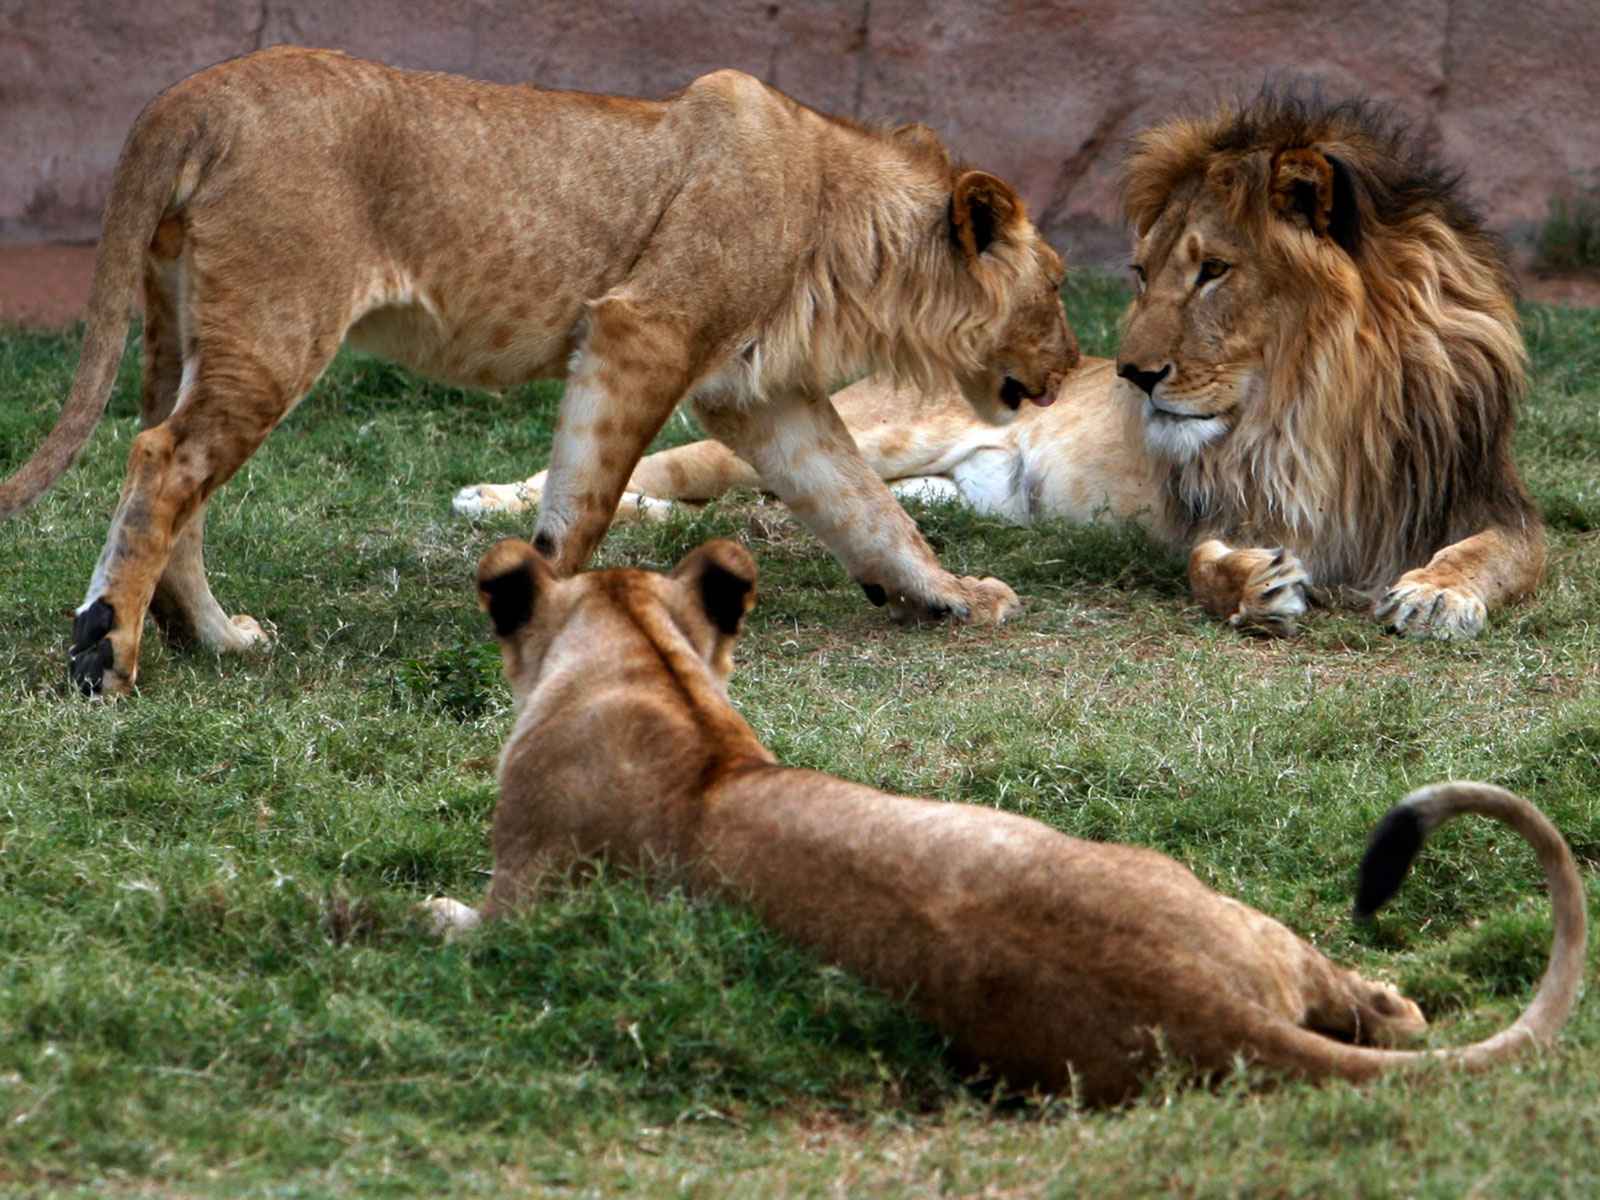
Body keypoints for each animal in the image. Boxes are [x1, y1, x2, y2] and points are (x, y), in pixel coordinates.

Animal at [0, 46, 1075, 695]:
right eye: (1062, 287)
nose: (1074, 369)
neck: (847, 235)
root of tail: (197, 92)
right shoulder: (641, 329)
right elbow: (584, 501)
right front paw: (545, 619)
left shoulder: (759, 392)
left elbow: (865, 506)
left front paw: (948, 595)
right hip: (275, 328)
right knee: (162, 461)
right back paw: (105, 658)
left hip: (197, 334)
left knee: (182, 480)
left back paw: (212, 639)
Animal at [480, 92, 1546, 638]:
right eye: (1145, 273)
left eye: (1214, 272)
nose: (1132, 377)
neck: (1308, 403)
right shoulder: (1206, 509)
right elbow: (1204, 560)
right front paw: (1255, 586)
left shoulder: (1487, 502)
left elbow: (1497, 554)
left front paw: (1436, 593)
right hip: (884, 424)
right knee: (672, 463)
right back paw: (496, 498)